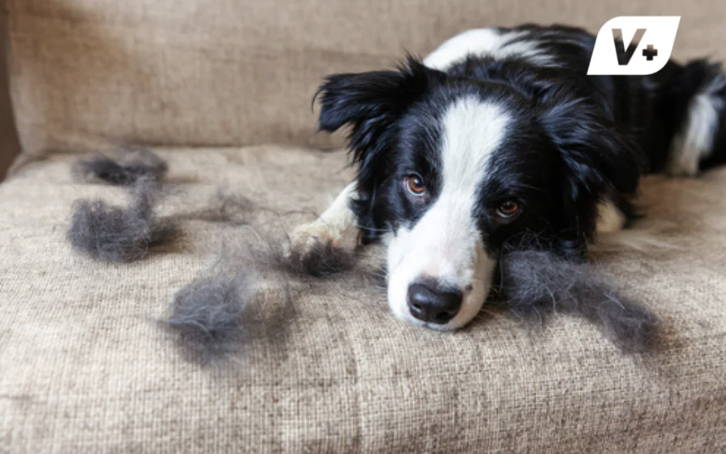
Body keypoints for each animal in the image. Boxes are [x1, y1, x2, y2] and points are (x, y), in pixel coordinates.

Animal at [290, 24, 726, 330]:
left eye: (509, 206)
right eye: (415, 183)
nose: (431, 306)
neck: (505, 74)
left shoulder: (610, 206)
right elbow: (356, 192)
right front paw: (320, 234)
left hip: (706, 102)